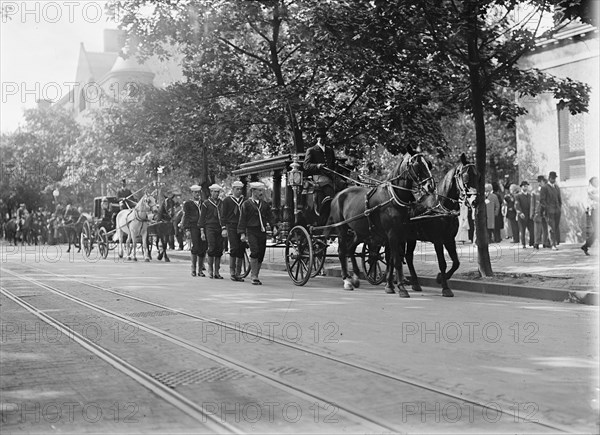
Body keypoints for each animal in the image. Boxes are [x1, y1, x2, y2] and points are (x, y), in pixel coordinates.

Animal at [326, 148, 434, 298]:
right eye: (417, 165)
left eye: (429, 164)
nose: (431, 186)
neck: (393, 197)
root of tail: (338, 195)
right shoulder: (392, 234)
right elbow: (396, 261)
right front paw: (401, 288)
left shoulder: (401, 235)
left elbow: (391, 260)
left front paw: (390, 285)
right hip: (341, 229)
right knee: (342, 251)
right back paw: (346, 280)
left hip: (360, 232)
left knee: (350, 249)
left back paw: (355, 277)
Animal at [404, 152, 478, 296]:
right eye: (466, 177)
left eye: (478, 176)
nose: (474, 201)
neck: (441, 206)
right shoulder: (438, 240)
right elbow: (442, 262)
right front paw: (445, 287)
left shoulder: (449, 239)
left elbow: (456, 262)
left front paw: (440, 278)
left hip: (411, 238)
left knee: (408, 257)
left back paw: (414, 282)